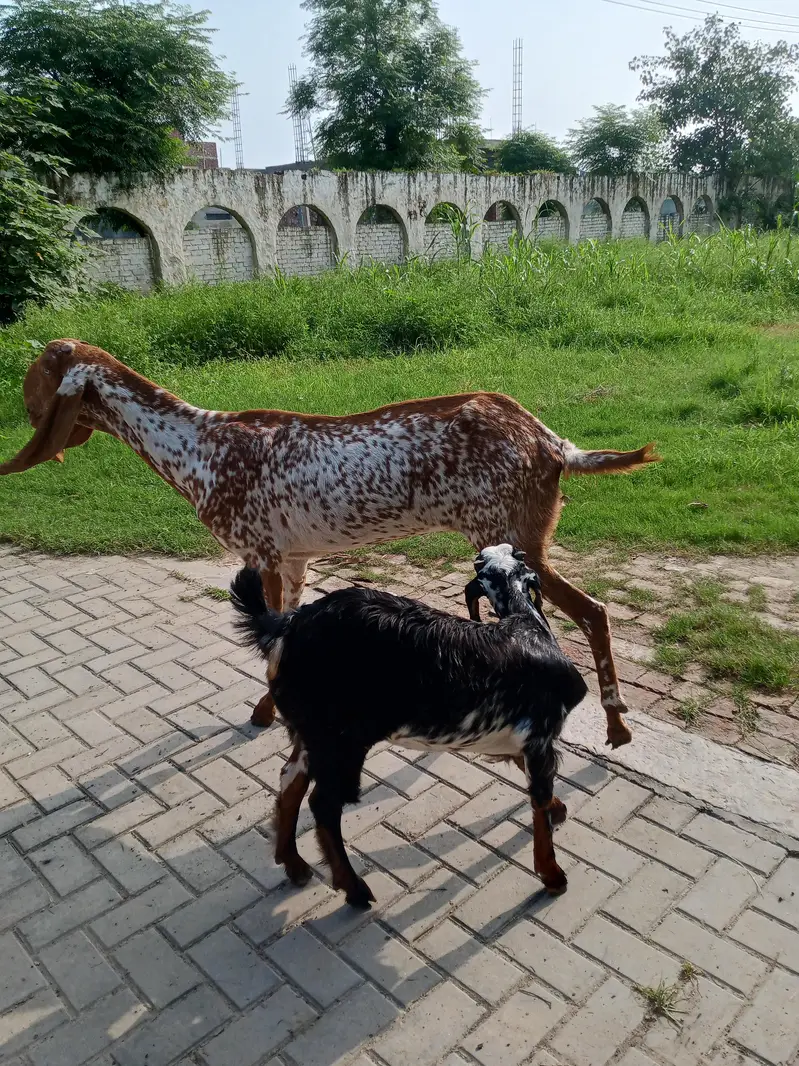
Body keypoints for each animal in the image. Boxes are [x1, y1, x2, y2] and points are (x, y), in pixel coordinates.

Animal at [1, 338, 659, 747]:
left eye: (34, 377)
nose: (21, 413)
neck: (198, 446)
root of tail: (550, 443)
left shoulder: (261, 553)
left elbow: (267, 645)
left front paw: (269, 716)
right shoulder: (293, 559)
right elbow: (280, 634)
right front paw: (270, 710)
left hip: (508, 535)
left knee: (591, 612)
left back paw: (616, 725)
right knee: (590, 611)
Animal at [230, 544, 588, 906]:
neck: (528, 628)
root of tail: (287, 627)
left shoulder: (515, 741)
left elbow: (534, 785)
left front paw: (558, 810)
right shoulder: (540, 737)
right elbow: (539, 801)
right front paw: (552, 875)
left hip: (312, 733)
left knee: (290, 779)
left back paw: (293, 863)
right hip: (341, 740)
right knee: (324, 803)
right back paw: (354, 889)